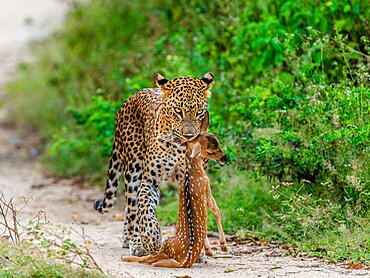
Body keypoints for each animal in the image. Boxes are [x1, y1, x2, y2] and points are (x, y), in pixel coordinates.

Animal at [93, 72, 214, 256]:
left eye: (199, 112)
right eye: (178, 111)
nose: (189, 135)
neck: (180, 147)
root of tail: (129, 99)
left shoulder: (194, 182)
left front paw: (196, 250)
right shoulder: (150, 180)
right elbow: (144, 208)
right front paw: (152, 239)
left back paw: (127, 238)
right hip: (134, 168)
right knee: (132, 208)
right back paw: (136, 243)